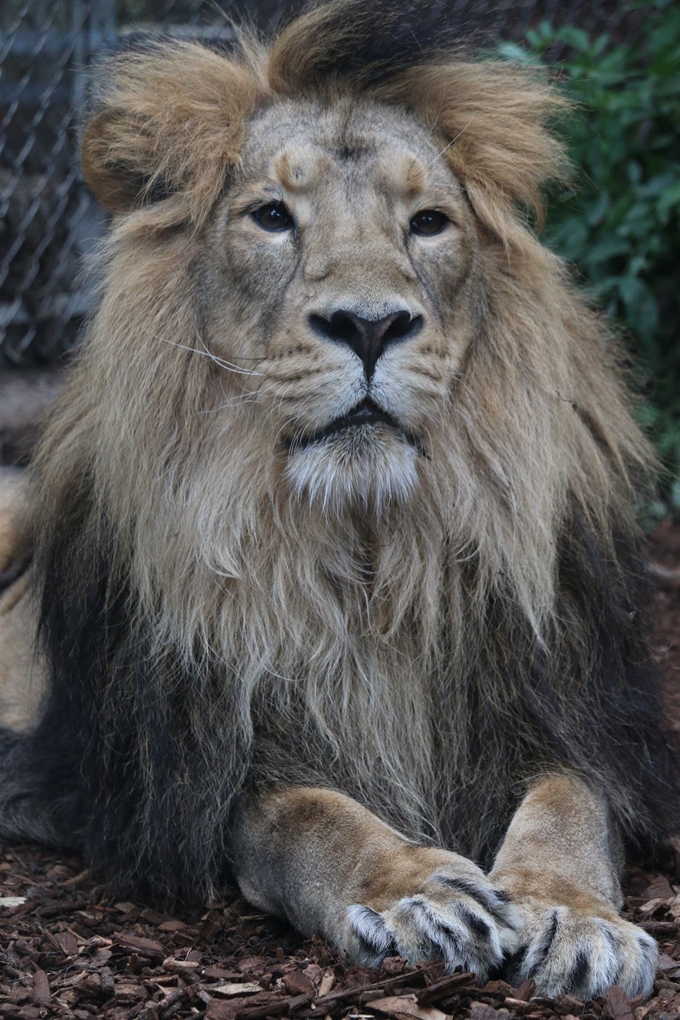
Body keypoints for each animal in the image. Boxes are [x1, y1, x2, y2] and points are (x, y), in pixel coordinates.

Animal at [1, 0, 680, 1003]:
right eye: (272, 217)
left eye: (429, 223)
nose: (369, 323)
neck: (367, 545)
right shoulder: (202, 770)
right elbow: (310, 818)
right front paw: (415, 889)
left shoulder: (563, 710)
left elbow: (570, 806)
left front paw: (574, 915)